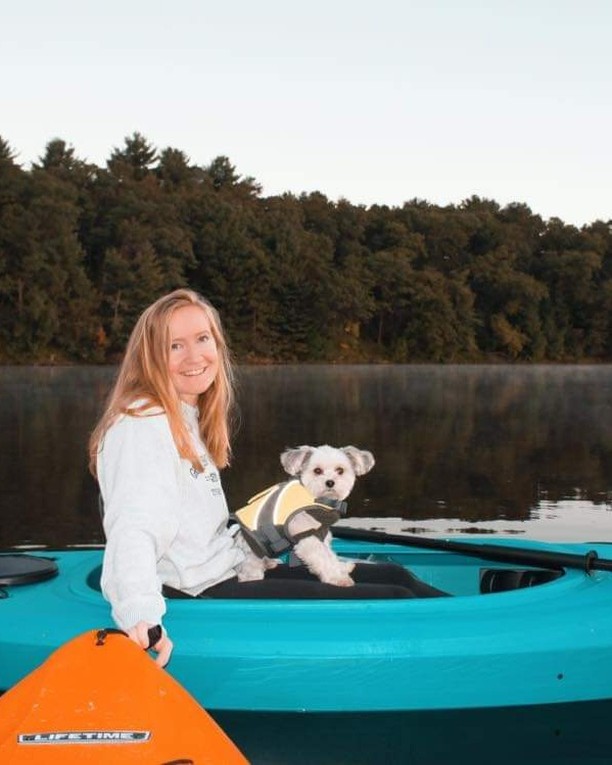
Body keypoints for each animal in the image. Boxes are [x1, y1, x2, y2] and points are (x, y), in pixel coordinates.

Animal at [233, 442, 372, 584]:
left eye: (340, 470)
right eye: (317, 471)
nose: (330, 482)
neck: (318, 500)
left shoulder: (321, 533)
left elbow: (330, 555)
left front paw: (340, 568)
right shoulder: (307, 537)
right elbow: (323, 559)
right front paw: (336, 578)